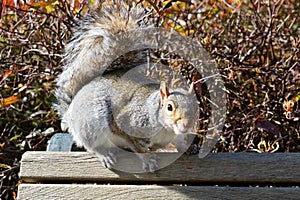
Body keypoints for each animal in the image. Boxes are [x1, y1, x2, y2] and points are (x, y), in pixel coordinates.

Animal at [55, 1, 199, 172]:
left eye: (196, 106)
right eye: (169, 107)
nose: (186, 125)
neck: (166, 129)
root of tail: (70, 113)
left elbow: (178, 142)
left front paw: (189, 147)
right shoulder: (127, 121)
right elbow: (136, 145)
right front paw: (147, 158)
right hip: (92, 123)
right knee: (92, 146)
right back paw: (104, 154)